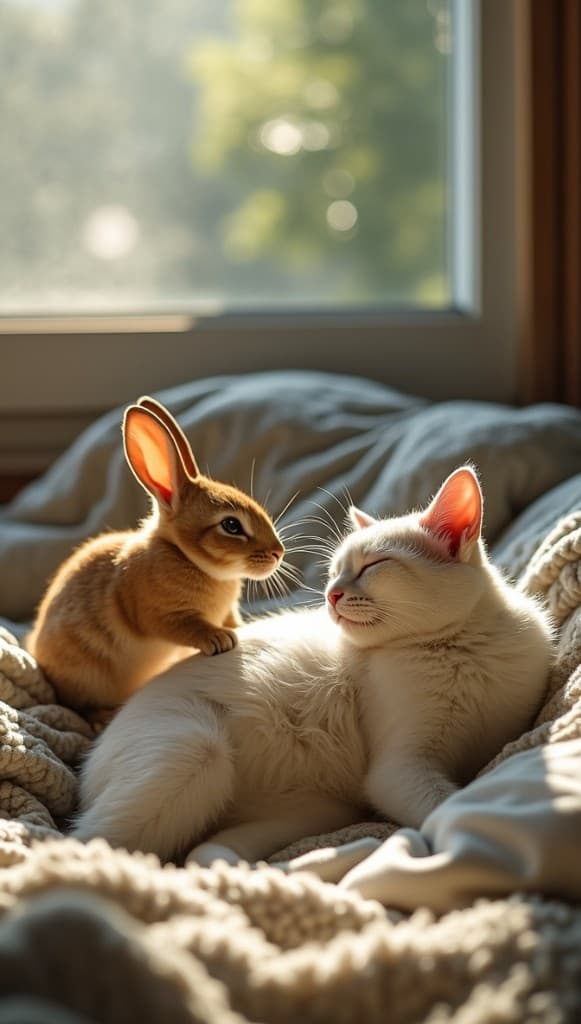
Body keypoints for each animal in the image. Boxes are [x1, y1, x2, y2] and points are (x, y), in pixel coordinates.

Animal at [27, 396, 284, 723]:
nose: (278, 553)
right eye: (231, 525)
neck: (183, 555)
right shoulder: (163, 615)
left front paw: (237, 628)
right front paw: (221, 639)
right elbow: (188, 627)